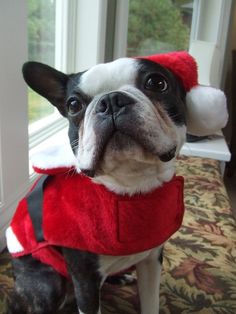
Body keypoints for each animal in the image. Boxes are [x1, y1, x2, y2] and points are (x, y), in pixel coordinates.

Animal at [5, 52, 227, 314]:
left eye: (157, 83)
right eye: (73, 105)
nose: (111, 100)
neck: (130, 187)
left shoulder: (152, 260)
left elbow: (151, 303)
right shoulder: (86, 281)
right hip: (48, 284)